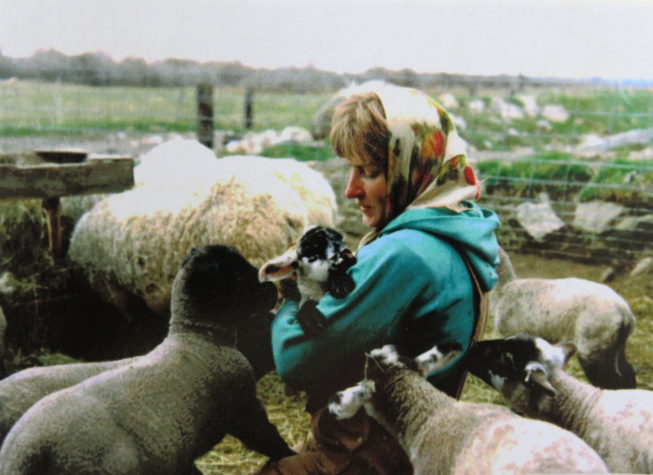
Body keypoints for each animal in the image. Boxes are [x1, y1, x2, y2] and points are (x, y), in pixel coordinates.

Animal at [0, 244, 294, 474]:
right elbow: (268, 439)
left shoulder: (180, 458)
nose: (272, 289)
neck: (198, 336)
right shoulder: (243, 407)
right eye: (239, 273)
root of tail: (25, 454)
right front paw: (292, 456)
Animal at [491, 247, 636, 389]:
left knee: (607, 379)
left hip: (593, 342)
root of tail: (625, 311)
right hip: (616, 344)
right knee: (627, 374)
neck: (503, 289)